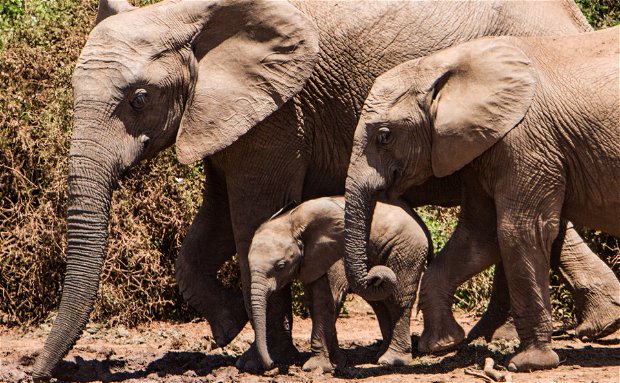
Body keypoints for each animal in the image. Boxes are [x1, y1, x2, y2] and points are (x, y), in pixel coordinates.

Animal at [247, 198, 432, 372]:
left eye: (280, 266)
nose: (272, 364)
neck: (291, 221)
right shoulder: (311, 260)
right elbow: (314, 302)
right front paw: (337, 363)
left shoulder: (335, 255)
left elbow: (326, 301)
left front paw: (316, 368)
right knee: (381, 303)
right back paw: (380, 355)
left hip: (406, 249)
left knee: (397, 300)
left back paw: (391, 360)